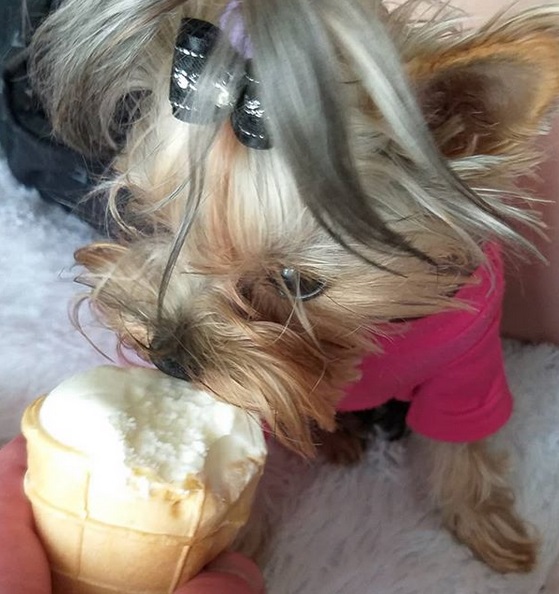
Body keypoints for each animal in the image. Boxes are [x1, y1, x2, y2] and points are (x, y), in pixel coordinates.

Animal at [28, 0, 559, 572]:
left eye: (297, 283)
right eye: (154, 221)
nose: (166, 357)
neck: (375, 333)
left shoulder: (467, 357)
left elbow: (463, 445)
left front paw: (488, 527)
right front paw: (238, 544)